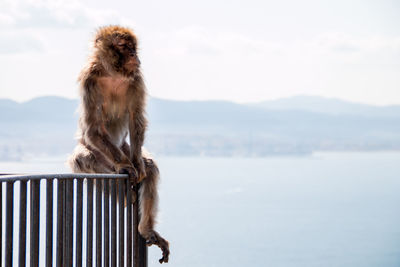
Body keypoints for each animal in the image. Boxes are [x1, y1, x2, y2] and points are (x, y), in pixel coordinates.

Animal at [68, 25, 169, 264]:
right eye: (124, 46)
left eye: (133, 46)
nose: (133, 54)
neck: (112, 74)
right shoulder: (89, 79)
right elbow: (93, 129)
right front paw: (126, 168)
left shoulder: (137, 78)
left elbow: (135, 119)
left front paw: (138, 167)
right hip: (102, 152)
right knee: (84, 157)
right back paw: (122, 187)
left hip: (123, 147)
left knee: (149, 166)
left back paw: (146, 228)